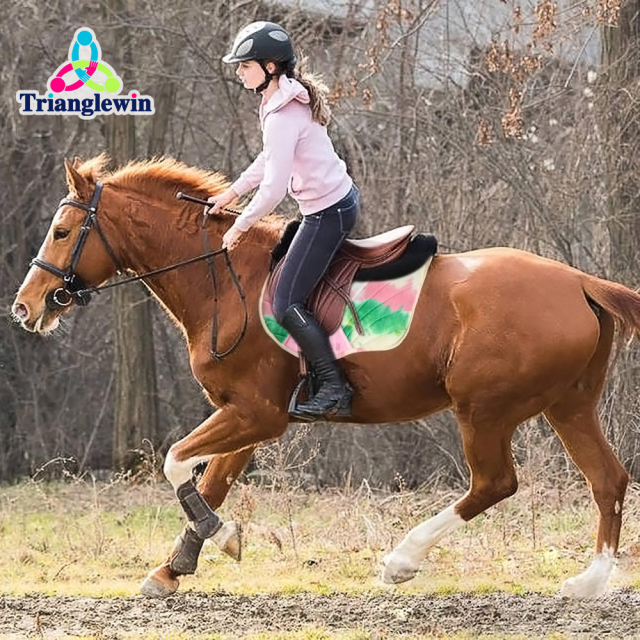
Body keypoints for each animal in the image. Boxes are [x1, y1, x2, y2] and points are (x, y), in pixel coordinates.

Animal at [11, 155, 640, 599]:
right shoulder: (247, 417)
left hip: (482, 409)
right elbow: (209, 482)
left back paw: (400, 560)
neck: (222, 281)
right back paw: (589, 582)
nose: (25, 307)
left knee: (495, 483)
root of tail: (579, 282)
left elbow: (175, 463)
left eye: (62, 232)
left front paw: (219, 538)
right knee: (607, 480)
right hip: (567, 406)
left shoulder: (255, 414)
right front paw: (175, 567)